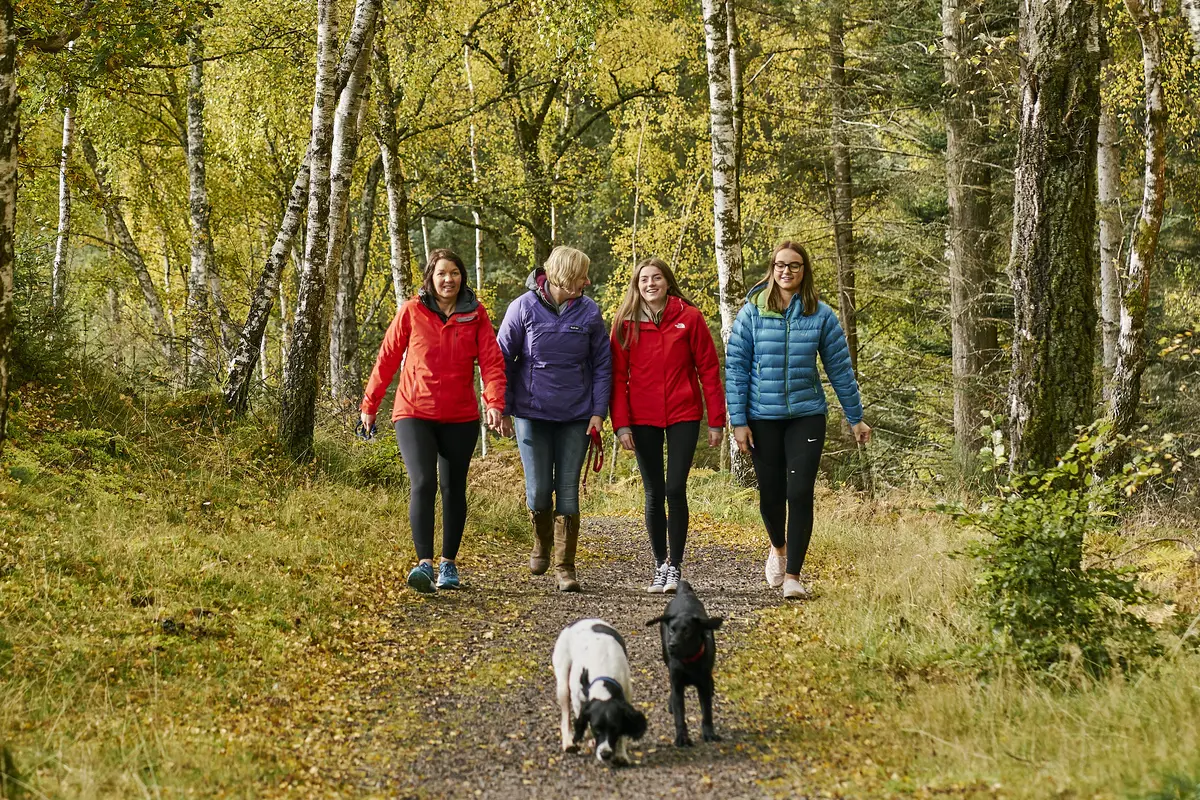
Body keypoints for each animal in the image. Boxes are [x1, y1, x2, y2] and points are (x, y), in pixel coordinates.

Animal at [552, 618, 648, 762]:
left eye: (615, 729)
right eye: (597, 728)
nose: (605, 754)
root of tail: (582, 620)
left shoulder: (626, 696)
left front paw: (620, 754)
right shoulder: (578, 699)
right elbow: (583, 723)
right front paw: (587, 735)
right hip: (563, 684)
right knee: (565, 715)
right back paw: (569, 742)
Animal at [648, 582, 720, 743]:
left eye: (687, 631)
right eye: (672, 630)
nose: (672, 645)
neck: (688, 661)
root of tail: (684, 593)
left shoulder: (703, 685)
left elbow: (707, 712)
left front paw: (709, 734)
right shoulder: (677, 684)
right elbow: (679, 715)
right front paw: (681, 737)